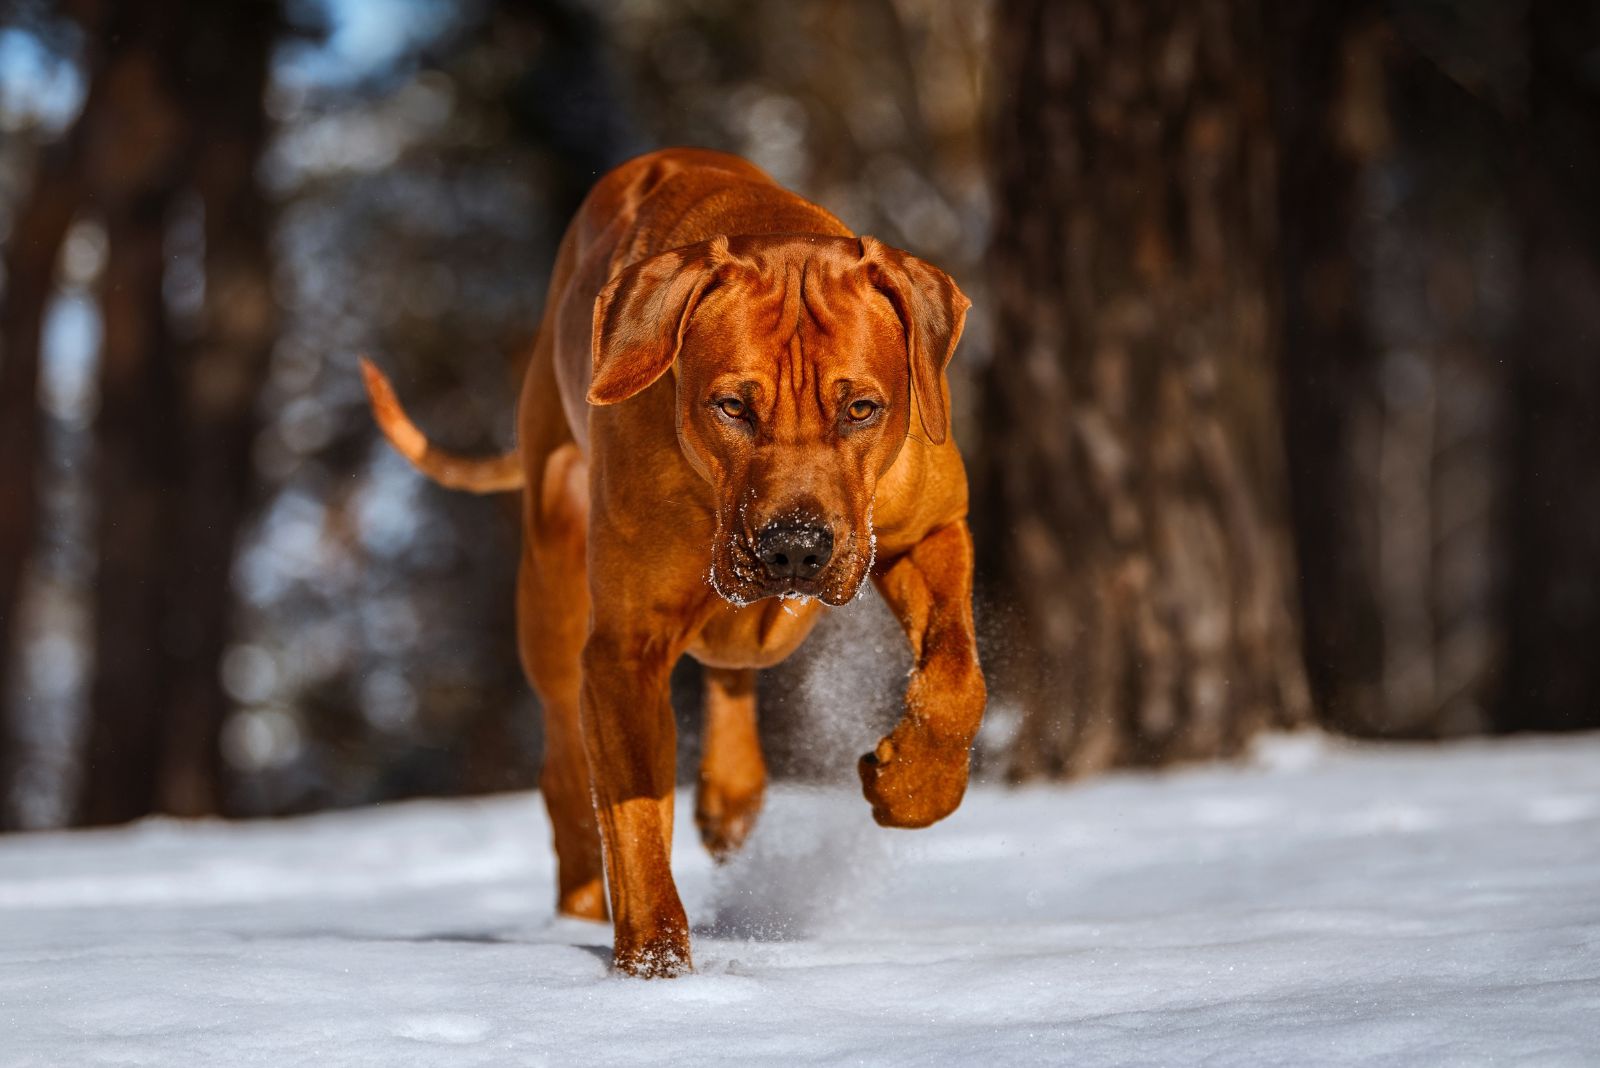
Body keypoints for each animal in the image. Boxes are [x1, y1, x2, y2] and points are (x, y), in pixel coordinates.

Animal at [364, 147, 985, 978]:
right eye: (732, 406)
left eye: (862, 409)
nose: (795, 547)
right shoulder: (622, 650)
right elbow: (633, 826)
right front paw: (657, 971)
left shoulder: (933, 529)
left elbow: (956, 674)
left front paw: (915, 786)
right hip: (554, 576)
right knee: (566, 768)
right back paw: (578, 907)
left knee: (736, 659)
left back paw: (732, 788)